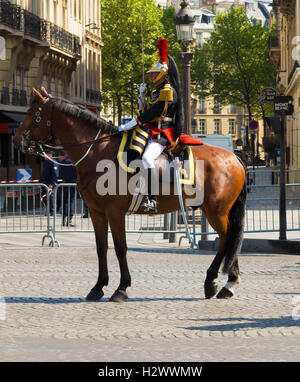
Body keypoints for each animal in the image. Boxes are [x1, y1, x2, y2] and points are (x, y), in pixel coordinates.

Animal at [13, 88, 246, 302]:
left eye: (33, 113)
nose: (16, 139)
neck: (98, 152)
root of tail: (234, 158)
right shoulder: (97, 212)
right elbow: (101, 247)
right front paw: (98, 287)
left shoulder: (115, 211)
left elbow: (120, 248)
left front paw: (121, 288)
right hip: (217, 210)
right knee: (230, 239)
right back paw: (228, 284)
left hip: (216, 210)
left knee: (227, 238)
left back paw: (212, 281)